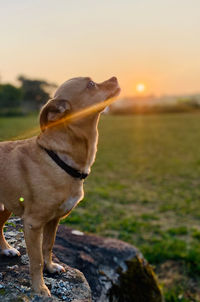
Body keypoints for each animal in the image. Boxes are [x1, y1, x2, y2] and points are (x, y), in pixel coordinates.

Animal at [0, 76, 120, 296]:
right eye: (91, 84)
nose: (115, 77)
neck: (58, 158)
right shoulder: (33, 223)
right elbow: (36, 259)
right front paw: (39, 288)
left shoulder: (53, 220)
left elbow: (48, 247)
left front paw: (50, 268)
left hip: (6, 206)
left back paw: (5, 248)